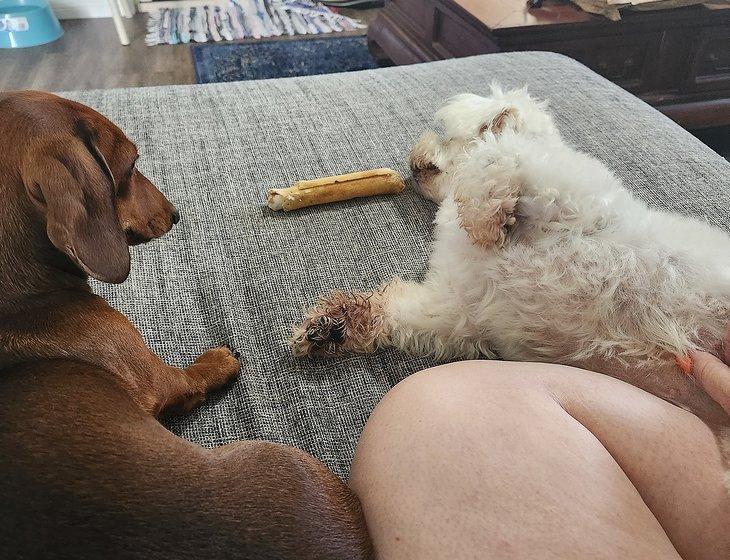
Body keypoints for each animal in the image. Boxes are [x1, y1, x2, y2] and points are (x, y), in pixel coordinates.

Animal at [290, 84, 728, 424]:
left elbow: (496, 161)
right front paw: (333, 325)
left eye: (447, 136)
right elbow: (394, 311)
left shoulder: (566, 194)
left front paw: (483, 219)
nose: (412, 158)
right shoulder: (460, 307)